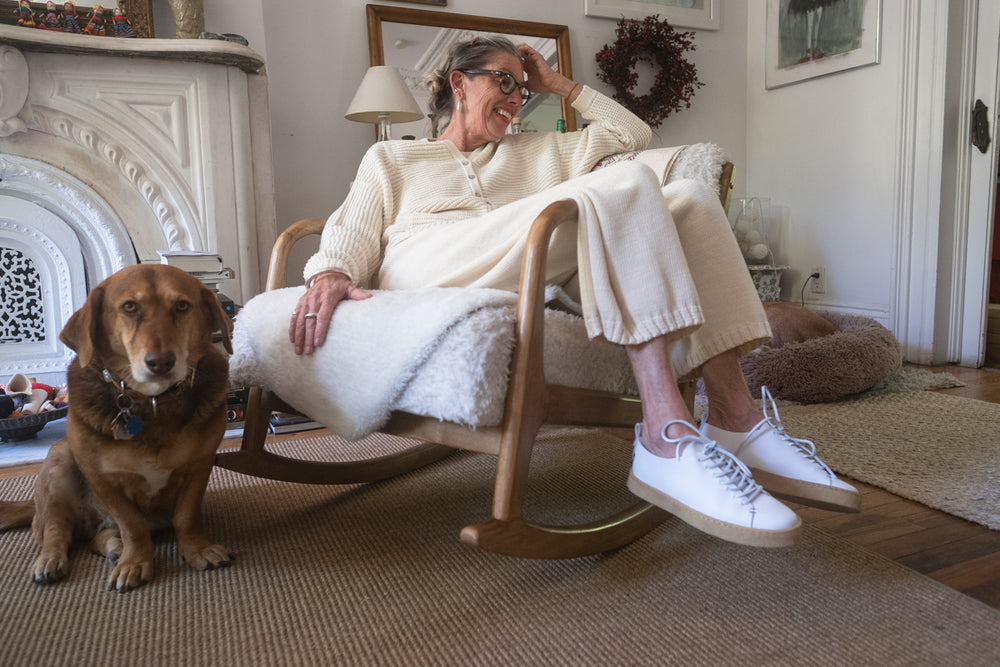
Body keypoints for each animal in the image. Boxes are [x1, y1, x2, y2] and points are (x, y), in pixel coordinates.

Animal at [0, 264, 235, 592]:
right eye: (130, 307)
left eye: (182, 306)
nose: (161, 362)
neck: (152, 402)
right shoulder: (102, 479)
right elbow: (132, 525)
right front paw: (135, 561)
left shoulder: (199, 466)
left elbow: (186, 517)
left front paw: (197, 550)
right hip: (60, 464)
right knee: (58, 532)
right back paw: (52, 561)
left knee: (95, 539)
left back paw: (112, 546)